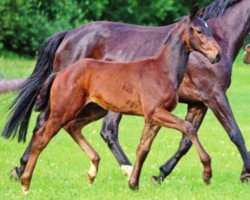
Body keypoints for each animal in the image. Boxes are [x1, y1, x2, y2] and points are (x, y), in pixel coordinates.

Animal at [2, 0, 250, 183]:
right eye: (199, 31)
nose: (216, 55)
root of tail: (69, 34)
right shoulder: (214, 95)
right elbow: (235, 134)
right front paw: (246, 172)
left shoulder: (198, 103)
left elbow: (185, 141)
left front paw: (160, 174)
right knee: (47, 124)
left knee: (102, 130)